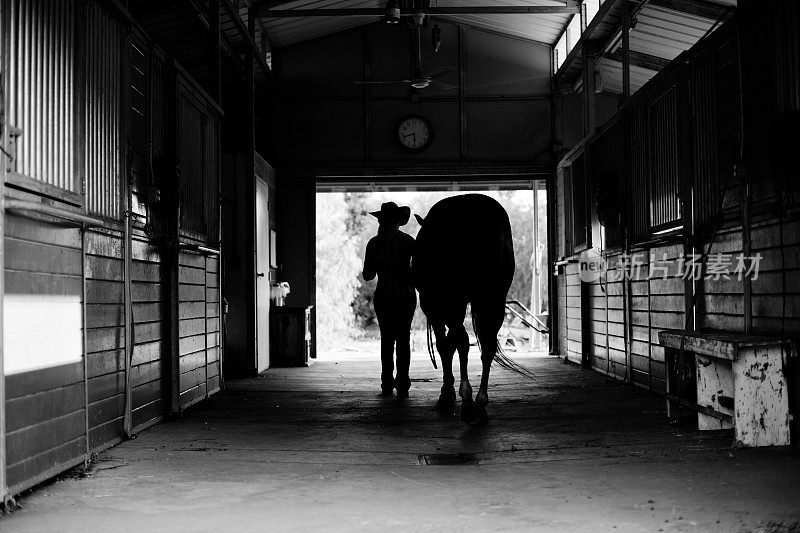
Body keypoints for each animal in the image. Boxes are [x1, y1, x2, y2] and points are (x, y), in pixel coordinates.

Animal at [416, 194, 516, 424]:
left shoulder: (435, 307)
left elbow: (445, 345)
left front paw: (447, 393)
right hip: (492, 300)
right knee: (487, 347)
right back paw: (480, 404)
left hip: (455, 303)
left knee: (461, 340)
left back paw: (468, 402)